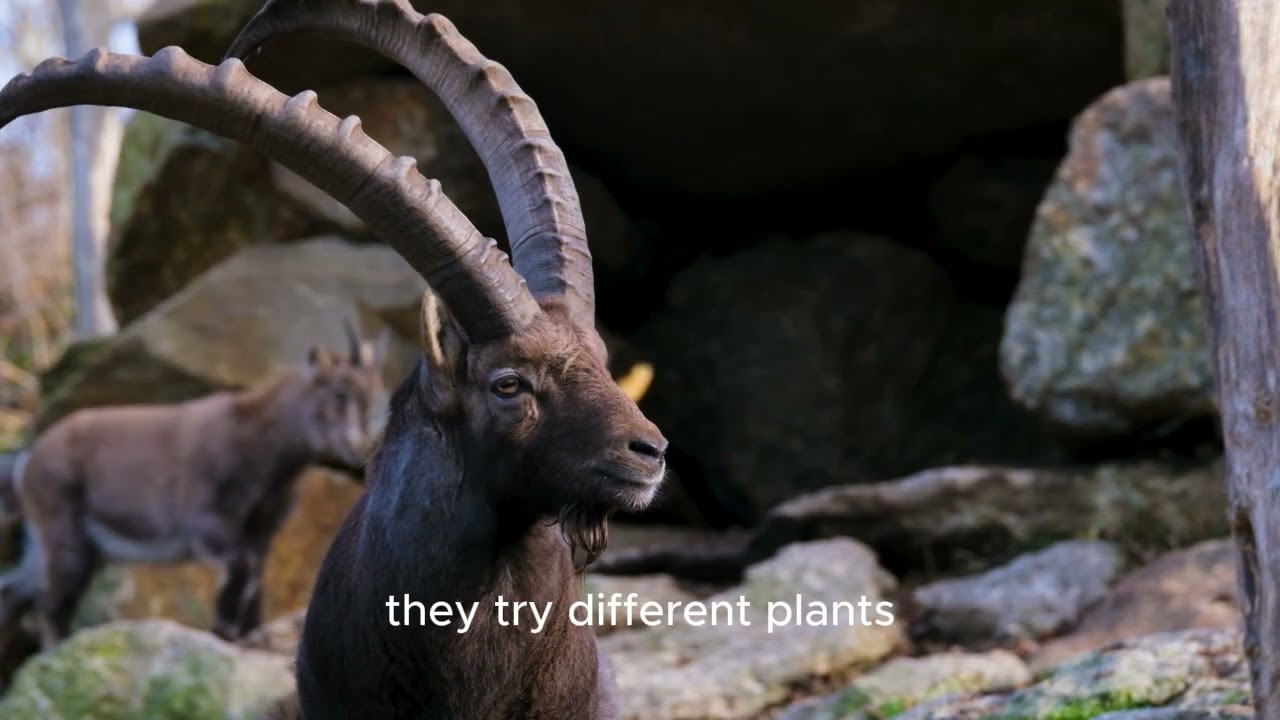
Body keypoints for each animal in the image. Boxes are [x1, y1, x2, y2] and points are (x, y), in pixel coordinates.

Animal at [0, 323, 389, 648]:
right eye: (338, 392)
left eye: (373, 392)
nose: (359, 447)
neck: (260, 445)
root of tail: (28, 460)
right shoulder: (208, 521)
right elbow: (240, 571)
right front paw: (224, 633)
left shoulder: (261, 532)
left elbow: (255, 580)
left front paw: (246, 635)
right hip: (65, 537)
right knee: (51, 605)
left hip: (52, 546)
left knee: (17, 592)